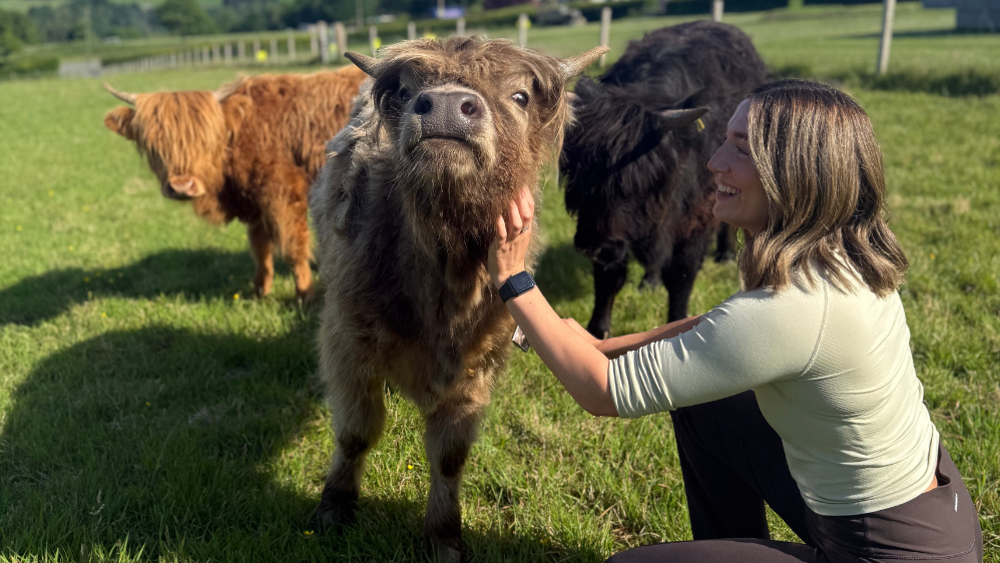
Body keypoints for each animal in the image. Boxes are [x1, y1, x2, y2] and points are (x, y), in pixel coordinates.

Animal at [102, 65, 369, 300]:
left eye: (205, 141)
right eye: (155, 146)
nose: (181, 187)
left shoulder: (284, 195)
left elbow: (294, 248)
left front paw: (304, 295)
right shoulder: (256, 203)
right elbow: (260, 248)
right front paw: (260, 291)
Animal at [308, 38, 606, 562]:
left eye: (520, 96)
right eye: (406, 91)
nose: (447, 105)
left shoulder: (477, 365)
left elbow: (450, 456)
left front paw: (444, 536)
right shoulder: (347, 341)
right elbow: (356, 431)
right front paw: (334, 508)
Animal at [560, 21, 768, 339]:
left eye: (636, 180)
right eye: (579, 178)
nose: (590, 246)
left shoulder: (695, 218)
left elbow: (680, 277)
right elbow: (609, 278)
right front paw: (597, 331)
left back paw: (723, 254)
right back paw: (650, 281)